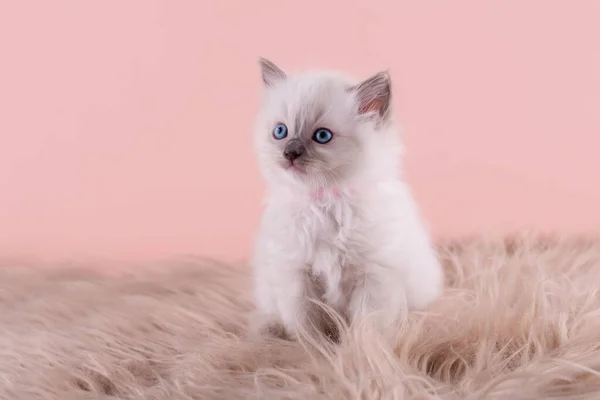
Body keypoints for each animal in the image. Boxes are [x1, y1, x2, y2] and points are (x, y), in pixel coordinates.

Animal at [251, 57, 442, 342]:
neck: (324, 201)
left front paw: (358, 350)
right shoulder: (296, 275)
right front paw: (314, 348)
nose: (290, 153)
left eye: (322, 136)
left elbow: (367, 327)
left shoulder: (374, 277)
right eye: (280, 131)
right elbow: (305, 326)